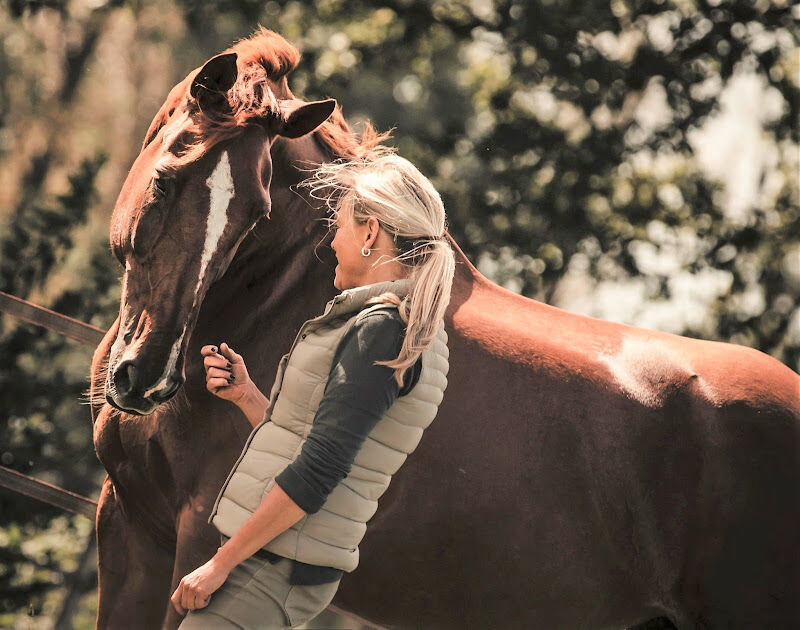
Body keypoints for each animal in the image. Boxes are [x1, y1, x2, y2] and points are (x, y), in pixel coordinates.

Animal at [89, 27, 800, 630]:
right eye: (165, 183)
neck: (280, 302)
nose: (147, 379)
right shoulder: (130, 531)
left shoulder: (203, 545)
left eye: (254, 214)